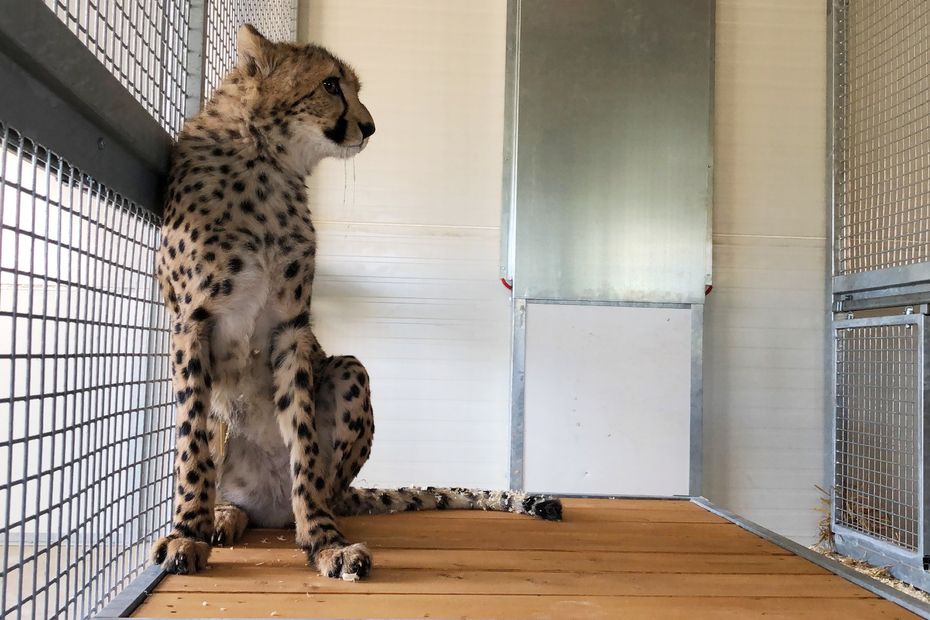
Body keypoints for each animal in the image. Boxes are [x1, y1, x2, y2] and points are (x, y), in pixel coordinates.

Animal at [151, 21, 560, 580]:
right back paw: (225, 513)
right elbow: (191, 438)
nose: (369, 127)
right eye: (330, 84)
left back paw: (308, 516)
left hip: (349, 371)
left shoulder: (292, 329)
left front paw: (324, 542)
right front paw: (186, 533)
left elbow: (302, 441)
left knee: (326, 479)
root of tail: (268, 507)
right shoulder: (193, 321)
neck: (269, 167)